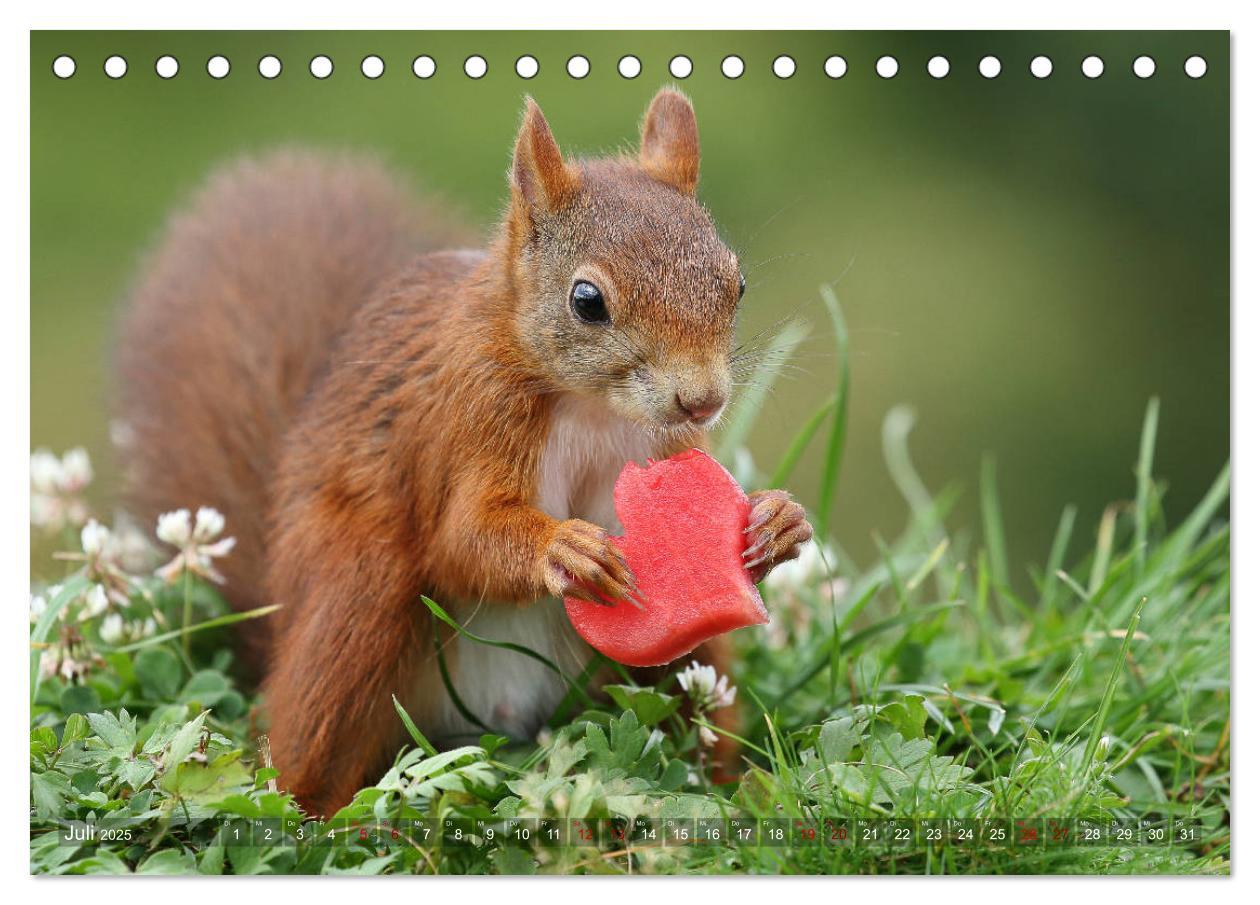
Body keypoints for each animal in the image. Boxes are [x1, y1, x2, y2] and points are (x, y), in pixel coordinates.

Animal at [115, 88, 806, 816]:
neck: (591, 405)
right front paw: (563, 549)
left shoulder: (664, 444)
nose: (702, 400)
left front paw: (775, 521)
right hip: (357, 598)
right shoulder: (469, 421)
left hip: (687, 667)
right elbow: (463, 539)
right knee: (303, 752)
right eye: (587, 300)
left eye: (736, 282)